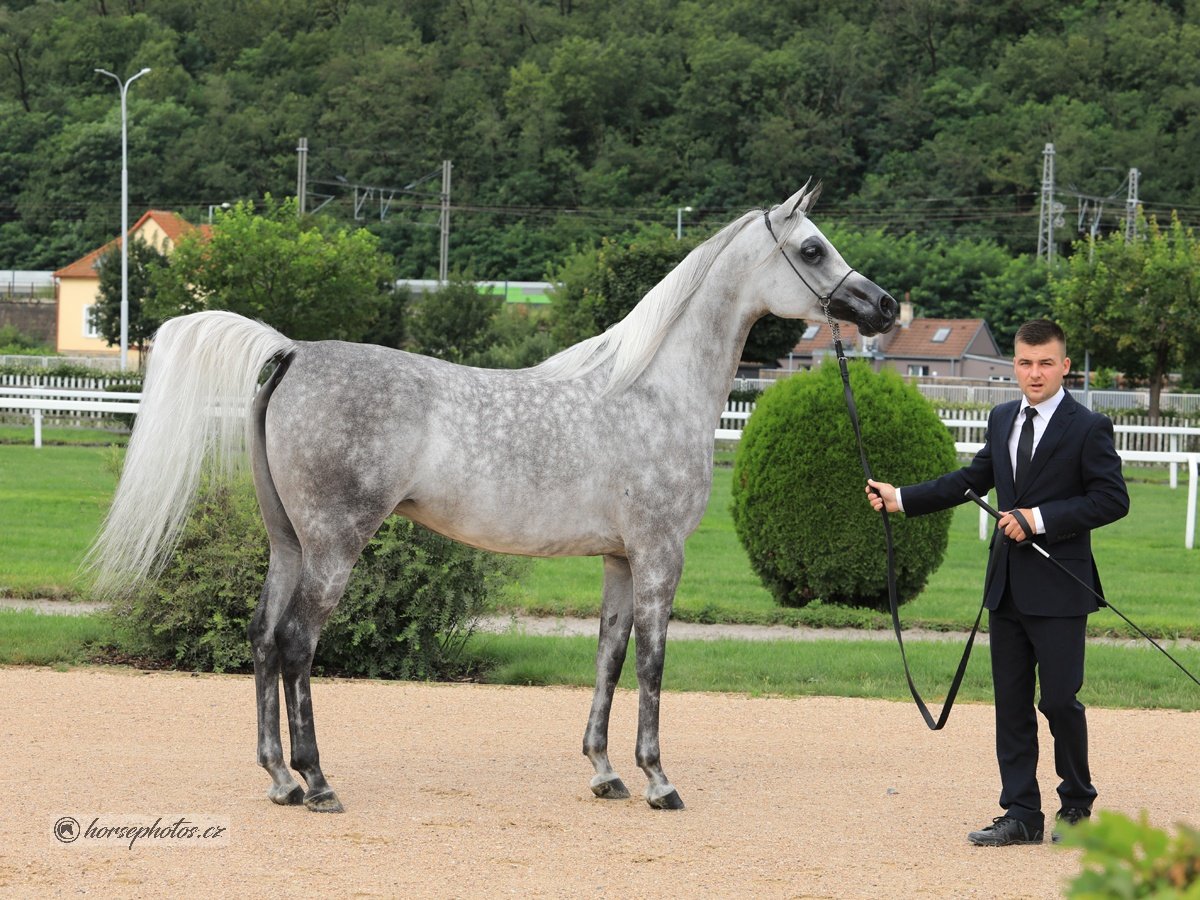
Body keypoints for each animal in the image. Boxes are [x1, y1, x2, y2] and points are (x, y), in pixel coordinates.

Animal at [88, 184, 897, 816]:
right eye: (814, 249)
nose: (884, 307)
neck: (652, 391)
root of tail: (293, 351)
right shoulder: (660, 554)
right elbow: (653, 661)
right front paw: (659, 780)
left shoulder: (618, 559)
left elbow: (609, 654)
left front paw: (604, 772)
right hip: (333, 547)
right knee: (295, 644)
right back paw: (316, 783)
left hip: (289, 544)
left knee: (260, 638)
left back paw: (280, 780)